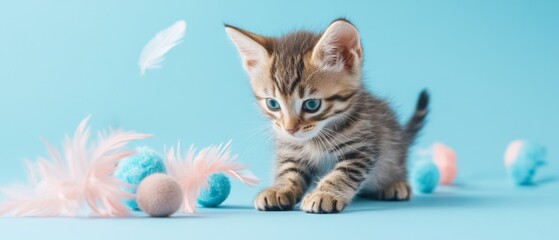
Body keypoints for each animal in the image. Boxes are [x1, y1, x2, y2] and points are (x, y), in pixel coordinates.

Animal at [223, 18, 428, 214]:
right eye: (272, 104)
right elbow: (288, 170)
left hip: (393, 148)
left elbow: (342, 174)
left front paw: (324, 194)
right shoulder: (290, 149)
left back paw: (396, 183)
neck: (315, 138)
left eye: (312, 105)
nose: (290, 129)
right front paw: (279, 189)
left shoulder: (361, 148)